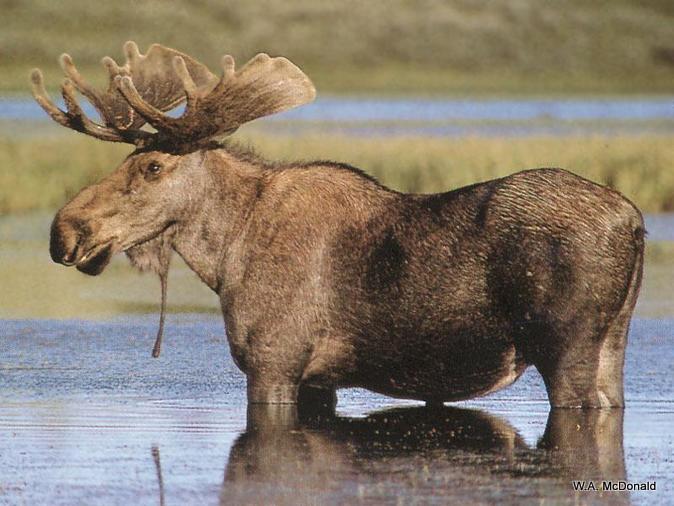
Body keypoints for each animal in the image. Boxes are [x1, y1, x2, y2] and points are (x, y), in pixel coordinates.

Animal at [32, 42, 644, 415]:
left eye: (153, 167)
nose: (64, 232)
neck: (227, 255)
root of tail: (635, 222)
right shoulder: (317, 380)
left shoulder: (273, 361)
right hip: (613, 341)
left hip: (565, 345)